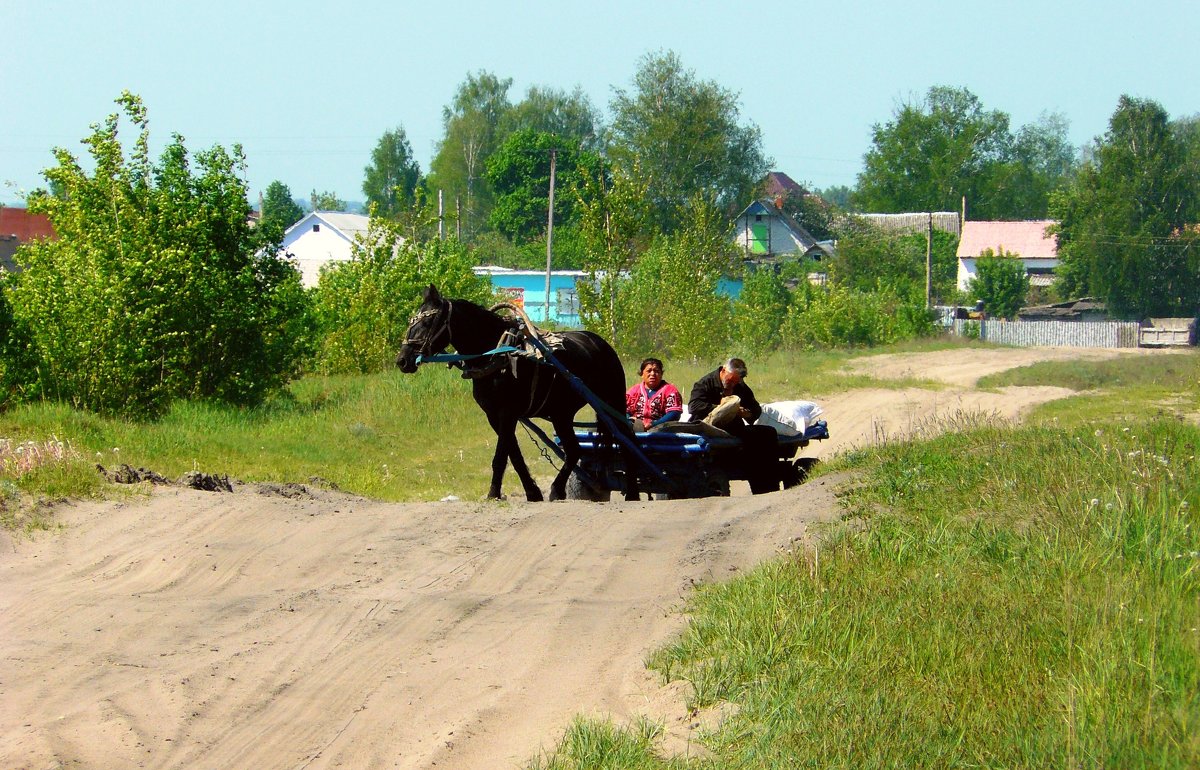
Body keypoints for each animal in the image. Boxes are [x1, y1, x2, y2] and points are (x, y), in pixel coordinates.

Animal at [396, 285, 643, 501]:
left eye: (428, 321)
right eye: (412, 321)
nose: (402, 360)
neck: (497, 352)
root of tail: (601, 343)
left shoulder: (507, 412)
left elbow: (500, 456)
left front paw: (493, 494)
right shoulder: (495, 415)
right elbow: (513, 455)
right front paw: (532, 493)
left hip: (611, 400)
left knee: (627, 440)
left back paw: (632, 492)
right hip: (561, 413)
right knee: (574, 450)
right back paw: (558, 489)